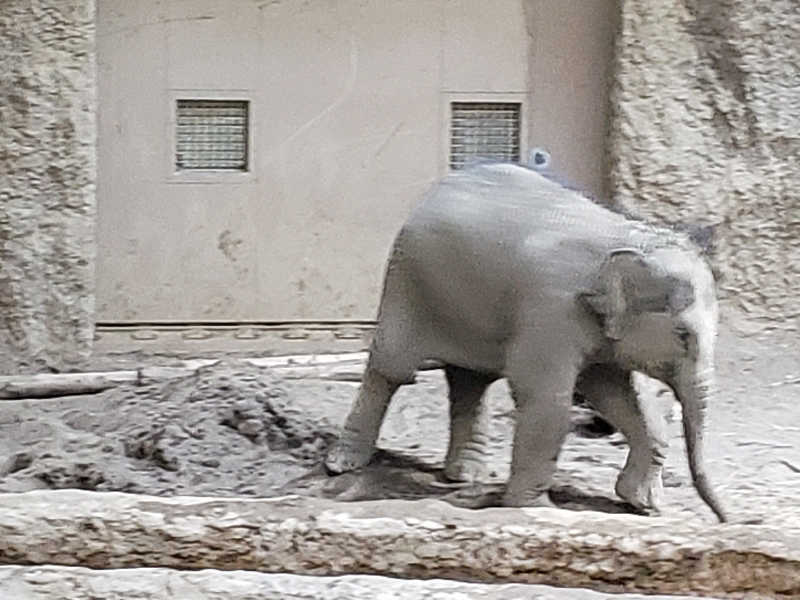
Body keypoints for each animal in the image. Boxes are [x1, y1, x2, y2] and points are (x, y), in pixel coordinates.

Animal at [326, 162, 732, 524]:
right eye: (683, 336)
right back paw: (343, 464)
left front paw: (642, 504)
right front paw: (535, 509)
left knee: (470, 379)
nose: (726, 520)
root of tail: (437, 187)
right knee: (391, 368)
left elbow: (618, 394)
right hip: (407, 284)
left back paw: (465, 476)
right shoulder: (551, 312)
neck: (627, 239)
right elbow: (547, 399)